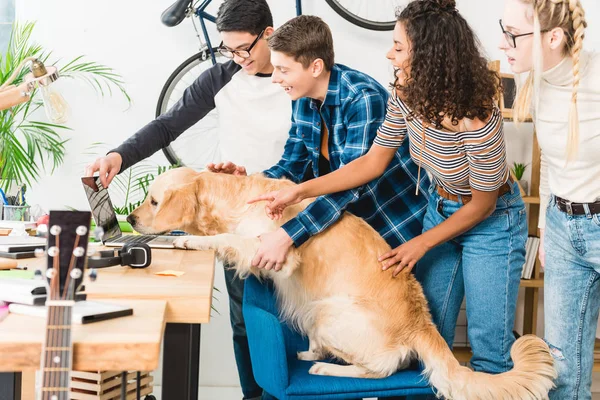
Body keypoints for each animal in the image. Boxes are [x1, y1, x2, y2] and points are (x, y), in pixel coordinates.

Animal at [129, 168, 556, 400]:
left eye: (153, 200)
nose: (130, 219)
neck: (236, 201)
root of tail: (421, 323)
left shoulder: (275, 251)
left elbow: (224, 239)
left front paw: (189, 240)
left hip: (330, 311)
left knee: (380, 371)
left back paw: (323, 369)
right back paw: (309, 355)